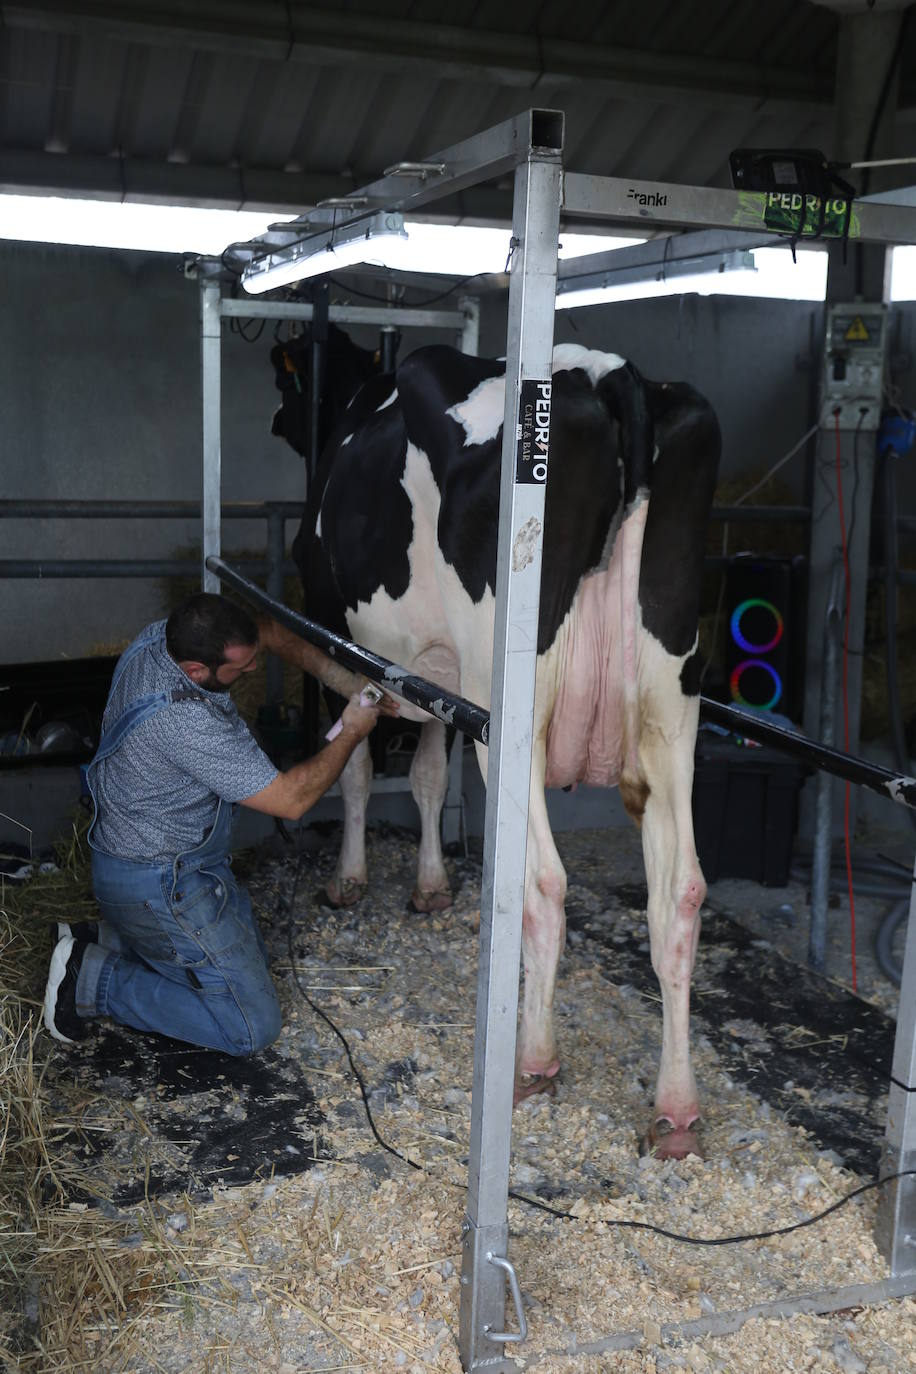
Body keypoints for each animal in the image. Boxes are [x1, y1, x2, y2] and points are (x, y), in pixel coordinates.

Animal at [288, 343, 725, 1159]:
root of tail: (606, 372)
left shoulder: (342, 647)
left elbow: (356, 771)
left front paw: (349, 877)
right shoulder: (439, 680)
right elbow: (428, 775)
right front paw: (430, 884)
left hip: (512, 713)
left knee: (545, 884)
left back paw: (532, 1062)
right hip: (670, 707)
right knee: (679, 894)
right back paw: (677, 1109)